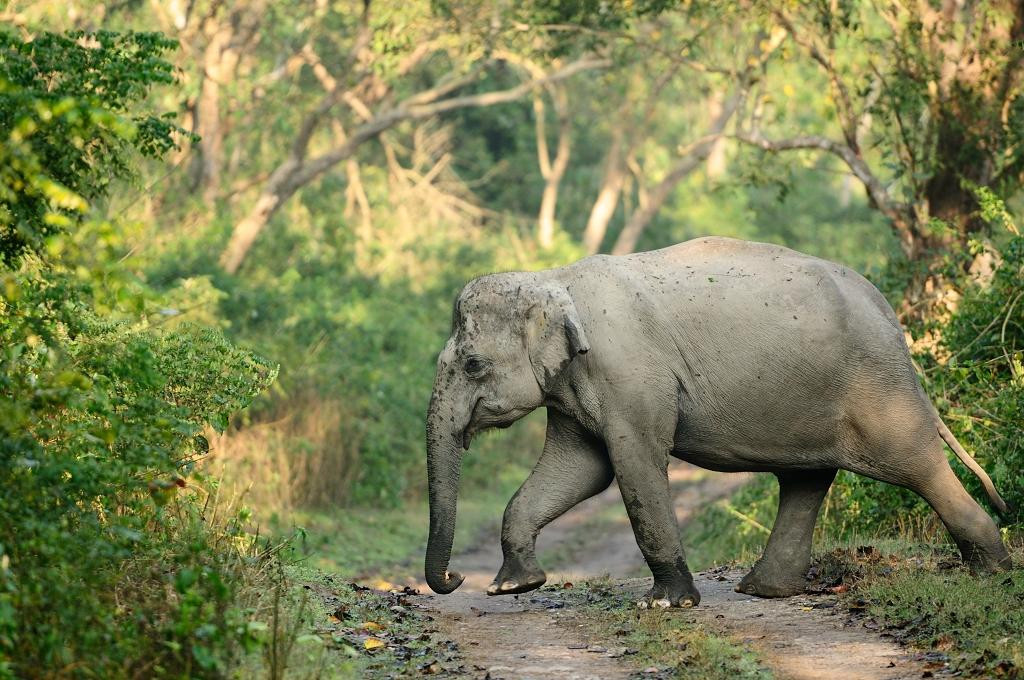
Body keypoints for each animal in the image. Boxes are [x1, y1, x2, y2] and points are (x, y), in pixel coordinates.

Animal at [421, 236, 1007, 606]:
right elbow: (580, 469)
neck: (553, 280)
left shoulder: (631, 374)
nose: (454, 578)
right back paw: (762, 591)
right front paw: (512, 589)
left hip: (877, 386)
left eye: (473, 365)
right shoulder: (574, 384)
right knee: (807, 478)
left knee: (916, 465)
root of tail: (891, 317)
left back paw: (995, 571)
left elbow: (633, 465)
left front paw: (666, 605)